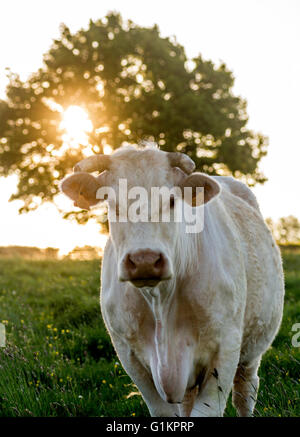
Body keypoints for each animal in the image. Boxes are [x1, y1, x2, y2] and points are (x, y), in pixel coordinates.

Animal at [60, 144, 284, 416]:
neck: (160, 302)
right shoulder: (129, 355)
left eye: (171, 200)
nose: (144, 260)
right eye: (112, 203)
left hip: (252, 350)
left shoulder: (225, 350)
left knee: (245, 393)